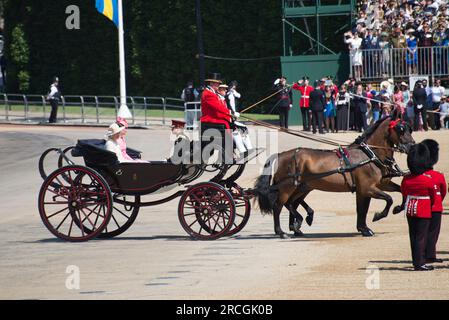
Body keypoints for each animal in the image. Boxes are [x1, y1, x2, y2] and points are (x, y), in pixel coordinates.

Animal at [254, 115, 414, 238]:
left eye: (409, 128)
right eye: (400, 129)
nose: (412, 146)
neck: (369, 155)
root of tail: (281, 154)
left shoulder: (374, 187)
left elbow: (367, 207)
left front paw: (366, 227)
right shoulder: (367, 188)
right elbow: (388, 199)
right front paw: (378, 216)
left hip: (302, 187)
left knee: (291, 204)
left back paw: (298, 226)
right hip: (287, 188)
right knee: (278, 206)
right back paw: (281, 231)